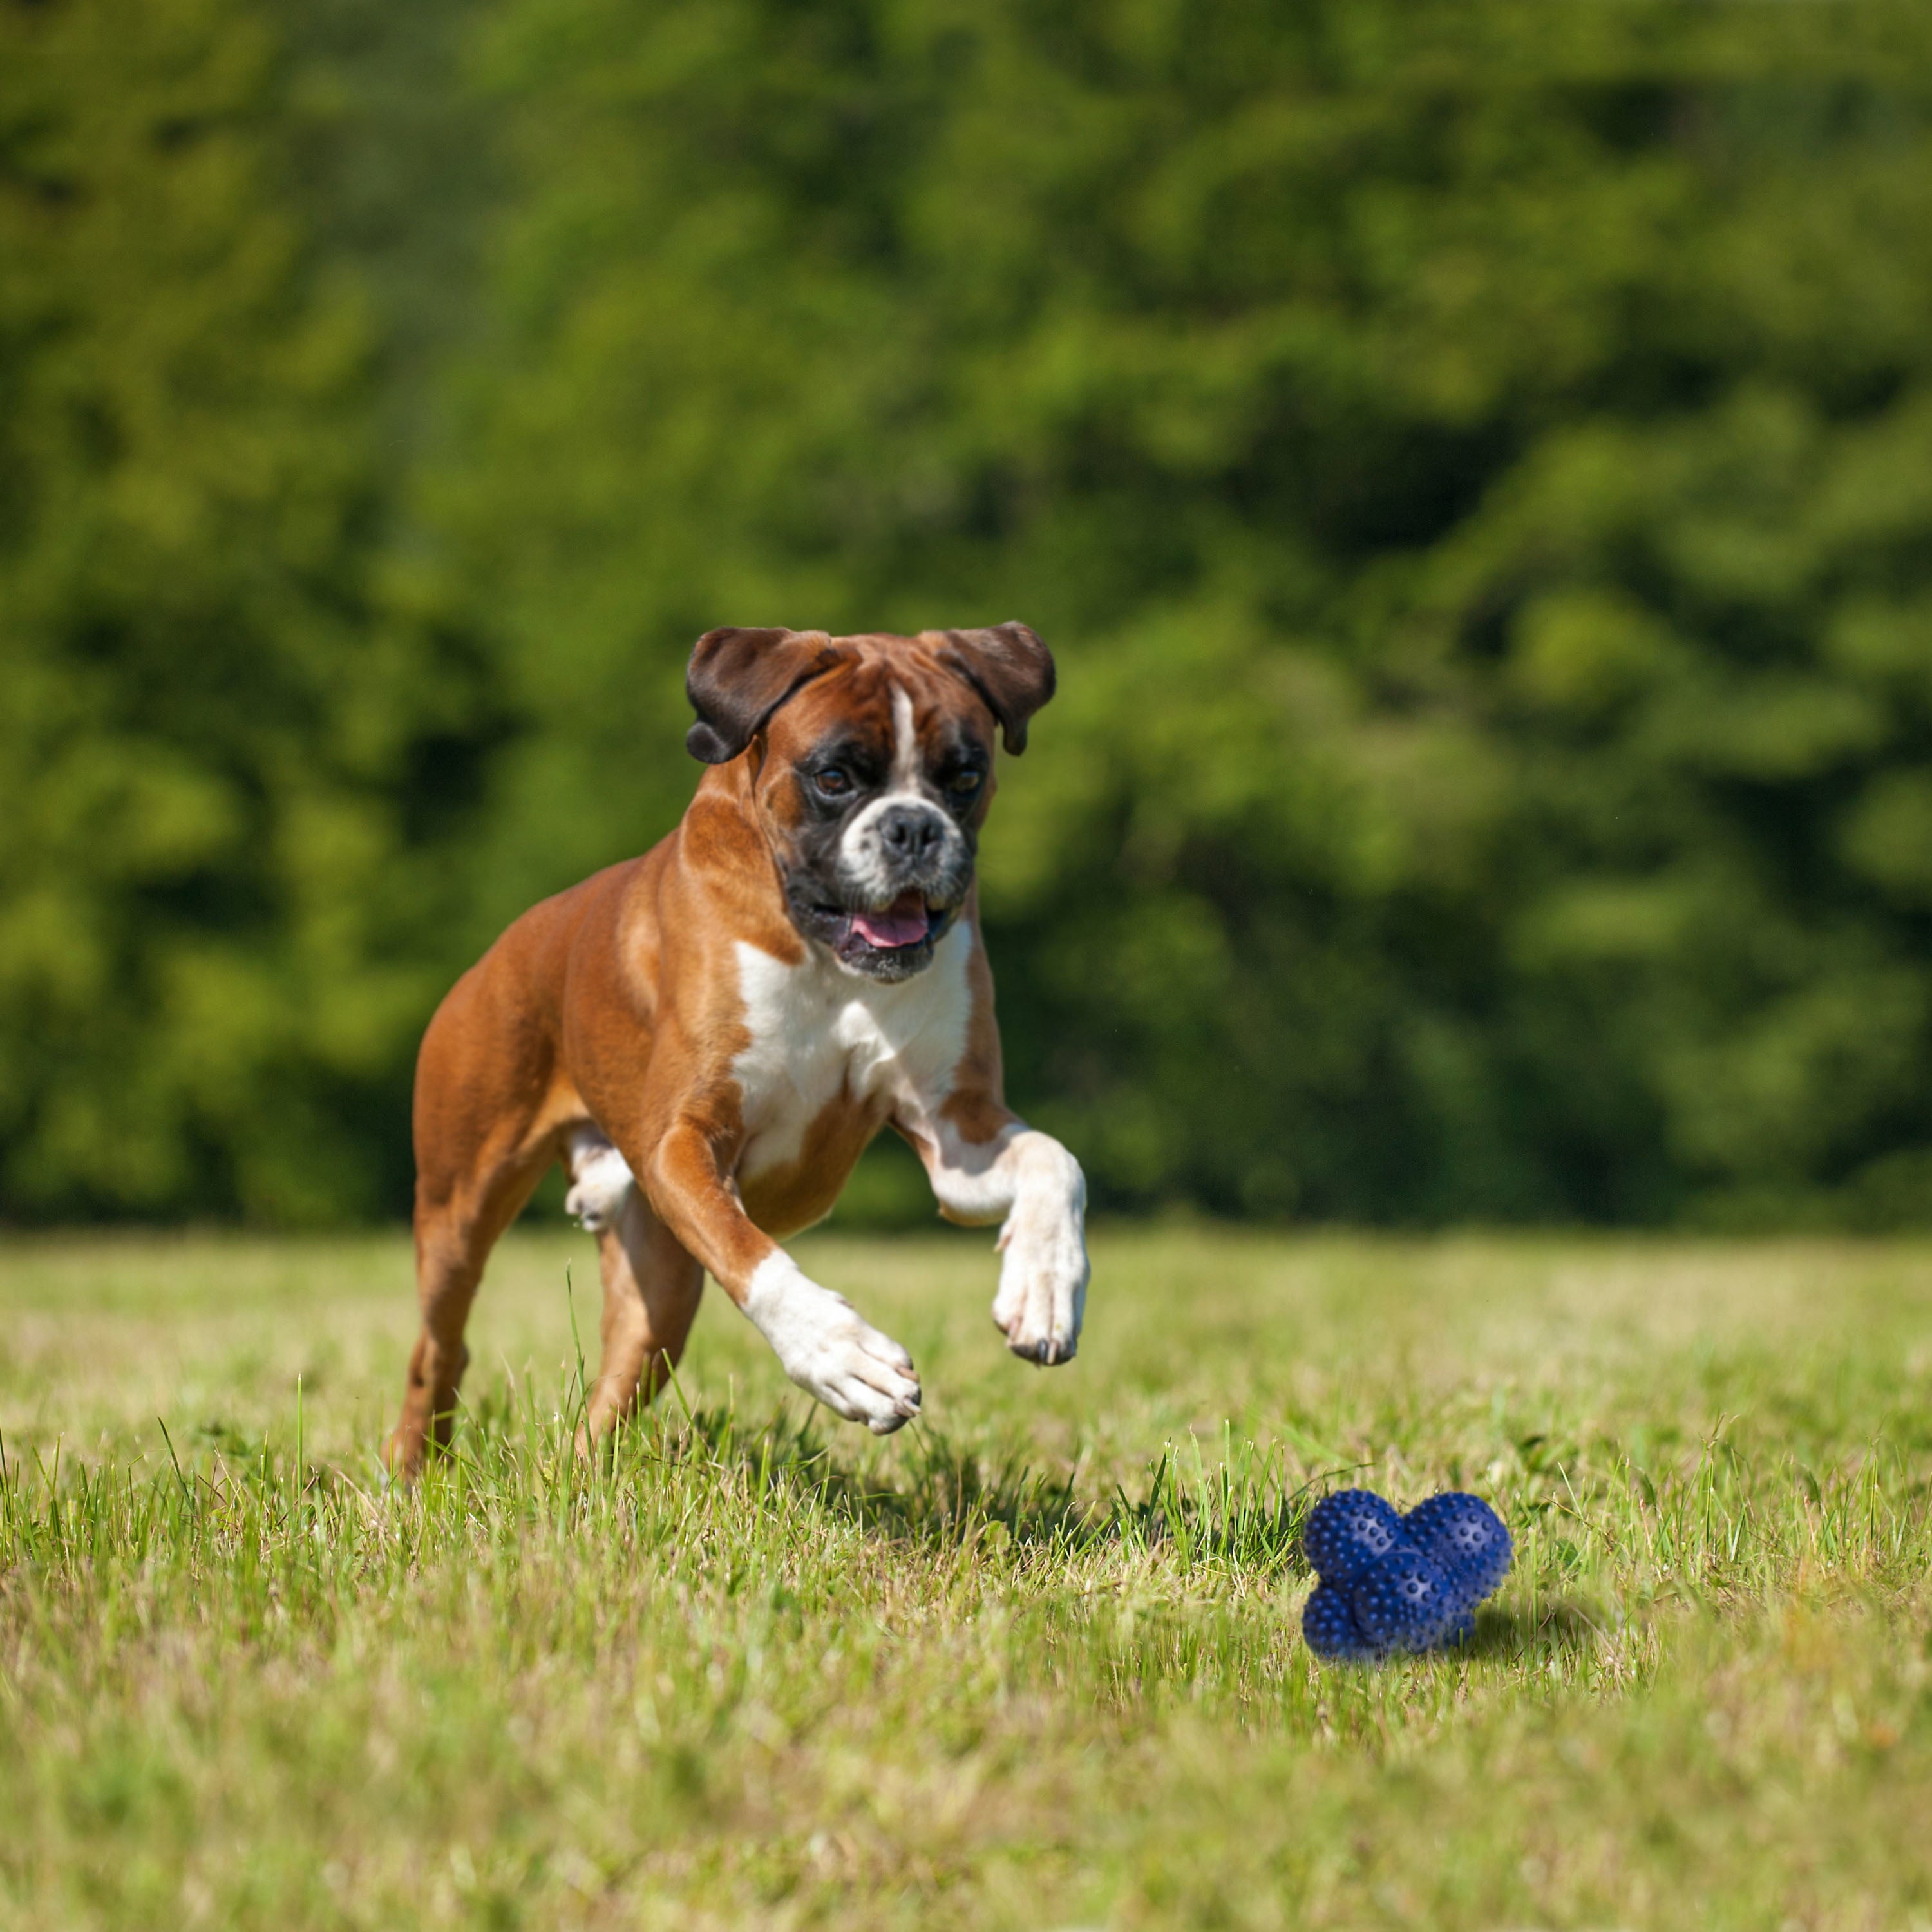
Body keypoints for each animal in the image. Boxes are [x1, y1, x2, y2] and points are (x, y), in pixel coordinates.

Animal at [388, 626, 1090, 1468]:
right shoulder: (685, 1140)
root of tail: (499, 951)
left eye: (964, 777)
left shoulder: (960, 1136)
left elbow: (1056, 1160)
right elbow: (752, 1256)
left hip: (658, 1297)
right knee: (439, 1349)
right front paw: (840, 1354)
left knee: (607, 1400)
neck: (827, 958)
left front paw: (1044, 1288)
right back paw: (410, 1473)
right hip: (460, 1208)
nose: (914, 828)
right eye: (832, 777)